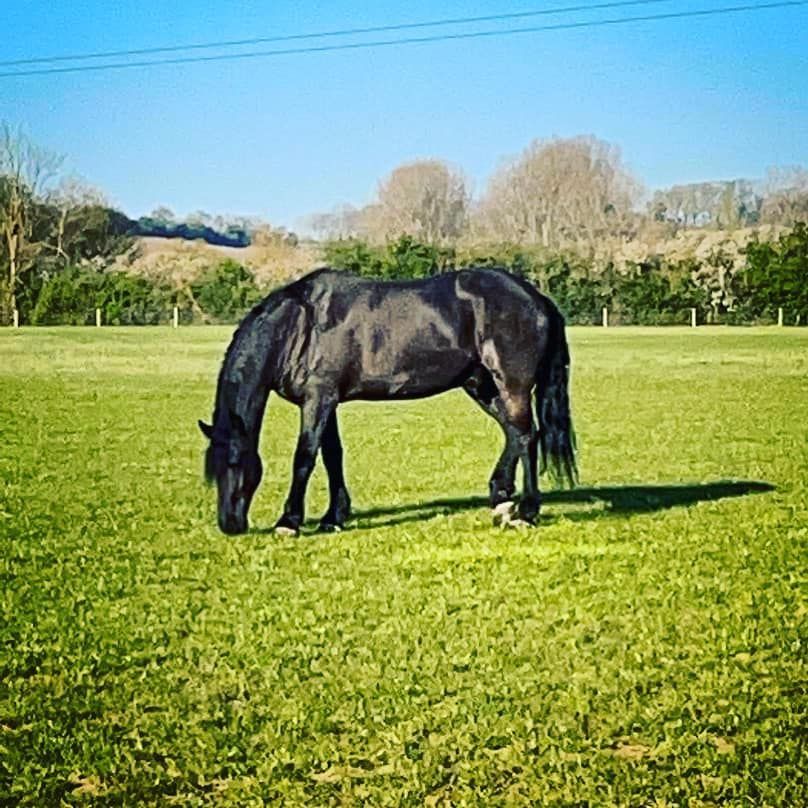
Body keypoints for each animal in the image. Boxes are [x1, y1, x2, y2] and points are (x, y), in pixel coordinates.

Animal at [199, 266, 577, 536]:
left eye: (235, 462)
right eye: (212, 469)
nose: (230, 525)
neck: (301, 326)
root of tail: (535, 296)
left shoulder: (318, 399)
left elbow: (305, 456)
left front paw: (288, 522)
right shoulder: (326, 401)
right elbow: (332, 456)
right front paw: (333, 517)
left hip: (511, 384)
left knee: (525, 435)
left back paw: (520, 508)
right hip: (482, 386)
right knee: (518, 435)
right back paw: (508, 504)